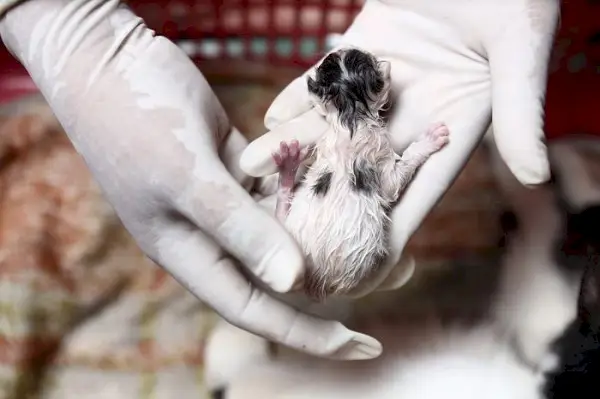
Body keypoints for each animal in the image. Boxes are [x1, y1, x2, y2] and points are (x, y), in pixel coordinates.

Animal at [272, 48, 450, 300]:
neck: (348, 116)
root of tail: (310, 280)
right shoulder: (379, 149)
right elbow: (393, 182)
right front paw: (430, 140)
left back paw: (288, 167)